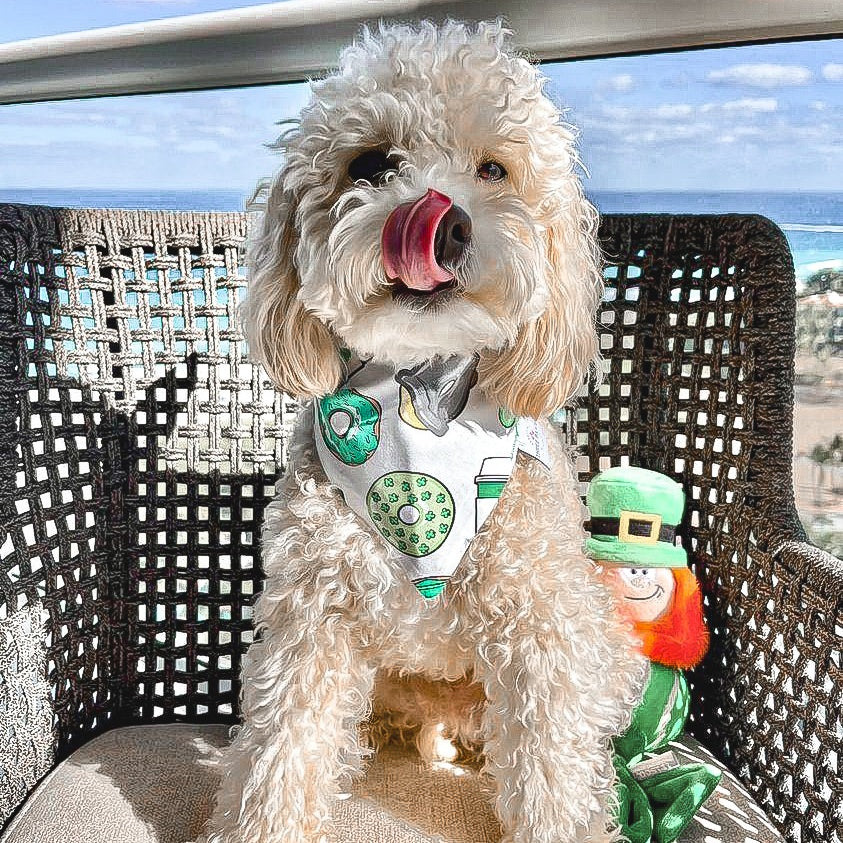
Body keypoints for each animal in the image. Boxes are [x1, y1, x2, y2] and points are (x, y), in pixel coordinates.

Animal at [203, 18, 648, 843]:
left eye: (494, 168)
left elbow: (553, 770)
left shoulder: (542, 627)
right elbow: (283, 747)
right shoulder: (313, 619)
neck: (422, 417)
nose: (445, 221)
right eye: (371, 163)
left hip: (601, 643)